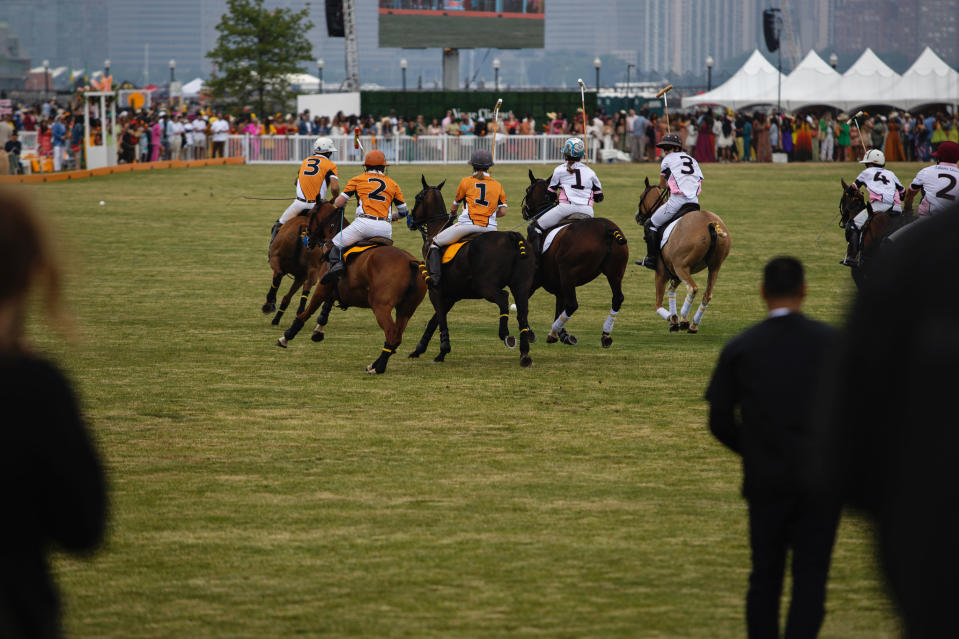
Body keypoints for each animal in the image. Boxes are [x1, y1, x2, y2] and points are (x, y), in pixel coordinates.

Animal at [276, 202, 430, 376]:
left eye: (312, 214)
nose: (307, 239)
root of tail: (411, 263)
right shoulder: (334, 289)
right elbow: (324, 311)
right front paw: (317, 332)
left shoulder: (322, 287)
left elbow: (306, 313)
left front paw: (286, 337)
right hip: (406, 310)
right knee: (396, 337)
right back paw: (374, 364)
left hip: (381, 306)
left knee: (391, 335)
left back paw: (378, 367)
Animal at [406, 175, 540, 368]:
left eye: (418, 197)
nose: (410, 220)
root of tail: (511, 236)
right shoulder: (452, 295)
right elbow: (433, 321)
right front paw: (419, 349)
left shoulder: (435, 291)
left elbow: (440, 319)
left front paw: (443, 350)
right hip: (521, 285)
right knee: (522, 311)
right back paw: (524, 352)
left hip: (485, 286)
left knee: (503, 298)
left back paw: (505, 334)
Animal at [516, 170, 632, 348]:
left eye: (528, 190)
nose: (525, 211)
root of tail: (607, 230)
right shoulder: (559, 285)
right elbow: (559, 306)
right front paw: (563, 334)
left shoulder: (535, 280)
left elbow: (524, 302)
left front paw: (529, 332)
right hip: (615, 271)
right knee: (617, 298)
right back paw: (605, 334)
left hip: (568, 273)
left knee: (572, 304)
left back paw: (552, 333)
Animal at [632, 176, 732, 336]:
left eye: (641, 197)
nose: (637, 217)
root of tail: (711, 224)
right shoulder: (675, 274)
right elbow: (671, 291)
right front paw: (674, 319)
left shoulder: (662, 272)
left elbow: (658, 304)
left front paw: (673, 320)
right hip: (714, 267)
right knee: (707, 294)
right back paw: (693, 325)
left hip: (681, 266)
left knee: (693, 288)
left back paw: (685, 319)